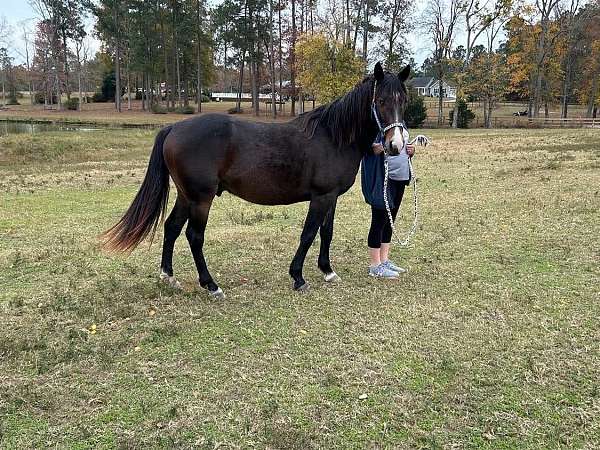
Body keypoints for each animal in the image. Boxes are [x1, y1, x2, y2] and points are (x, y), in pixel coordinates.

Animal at [104, 60, 412, 298]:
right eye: (381, 101)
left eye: (403, 101)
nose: (396, 145)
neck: (332, 136)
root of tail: (173, 128)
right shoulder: (321, 197)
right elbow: (308, 233)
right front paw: (298, 277)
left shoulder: (331, 196)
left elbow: (326, 232)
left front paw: (327, 271)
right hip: (201, 199)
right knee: (194, 235)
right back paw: (211, 285)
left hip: (186, 196)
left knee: (171, 228)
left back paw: (169, 277)